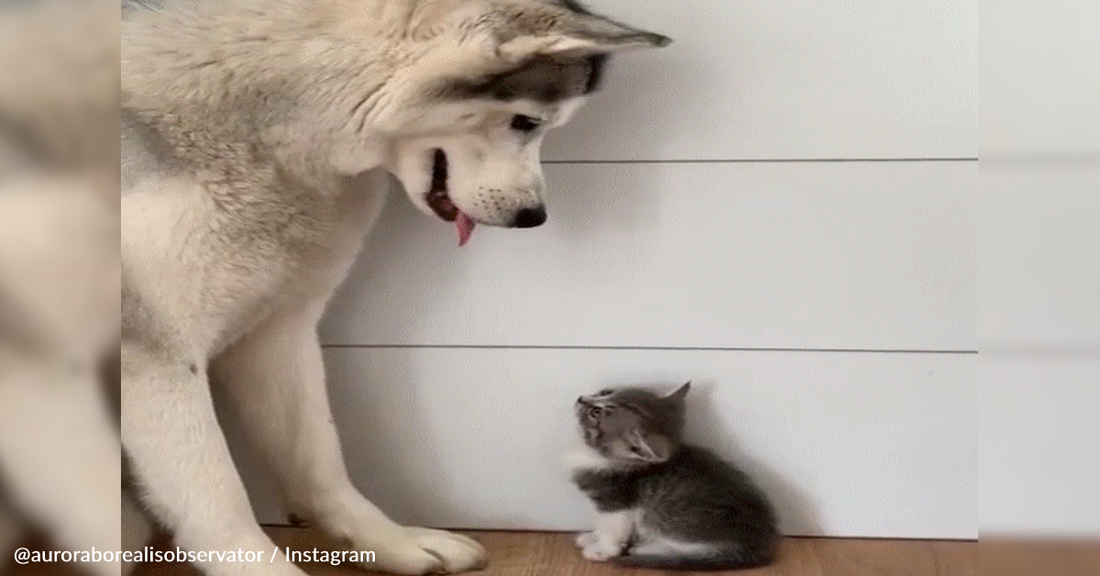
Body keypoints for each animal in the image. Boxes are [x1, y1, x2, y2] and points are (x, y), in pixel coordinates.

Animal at [121, 1, 668, 576]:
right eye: (527, 121)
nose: (533, 217)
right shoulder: (156, 354)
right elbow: (218, 491)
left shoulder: (277, 329)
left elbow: (320, 460)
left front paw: (393, 541)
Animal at [572, 384, 778, 567]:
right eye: (605, 391)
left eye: (595, 413)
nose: (580, 398)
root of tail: (758, 544)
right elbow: (602, 523)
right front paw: (593, 537)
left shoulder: (617, 500)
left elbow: (612, 527)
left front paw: (602, 549)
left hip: (669, 519)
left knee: (698, 548)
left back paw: (647, 550)